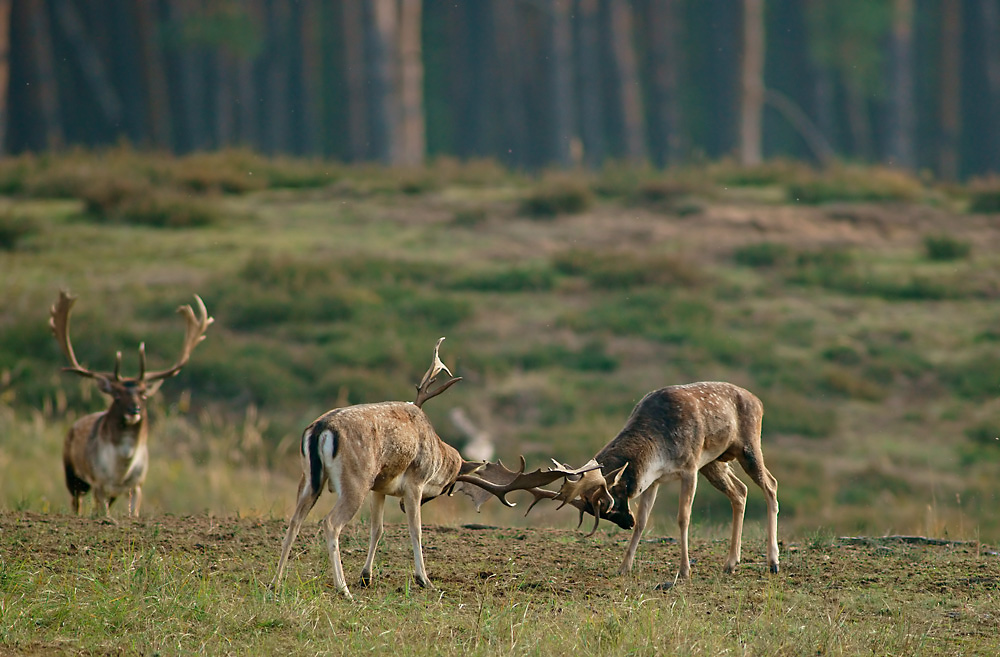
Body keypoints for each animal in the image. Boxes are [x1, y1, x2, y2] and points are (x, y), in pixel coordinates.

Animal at [49, 290, 213, 520]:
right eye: (117, 395)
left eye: (144, 394)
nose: (134, 409)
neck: (121, 468)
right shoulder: (99, 482)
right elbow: (101, 509)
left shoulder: (137, 485)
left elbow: (132, 512)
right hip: (72, 474)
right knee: (77, 503)